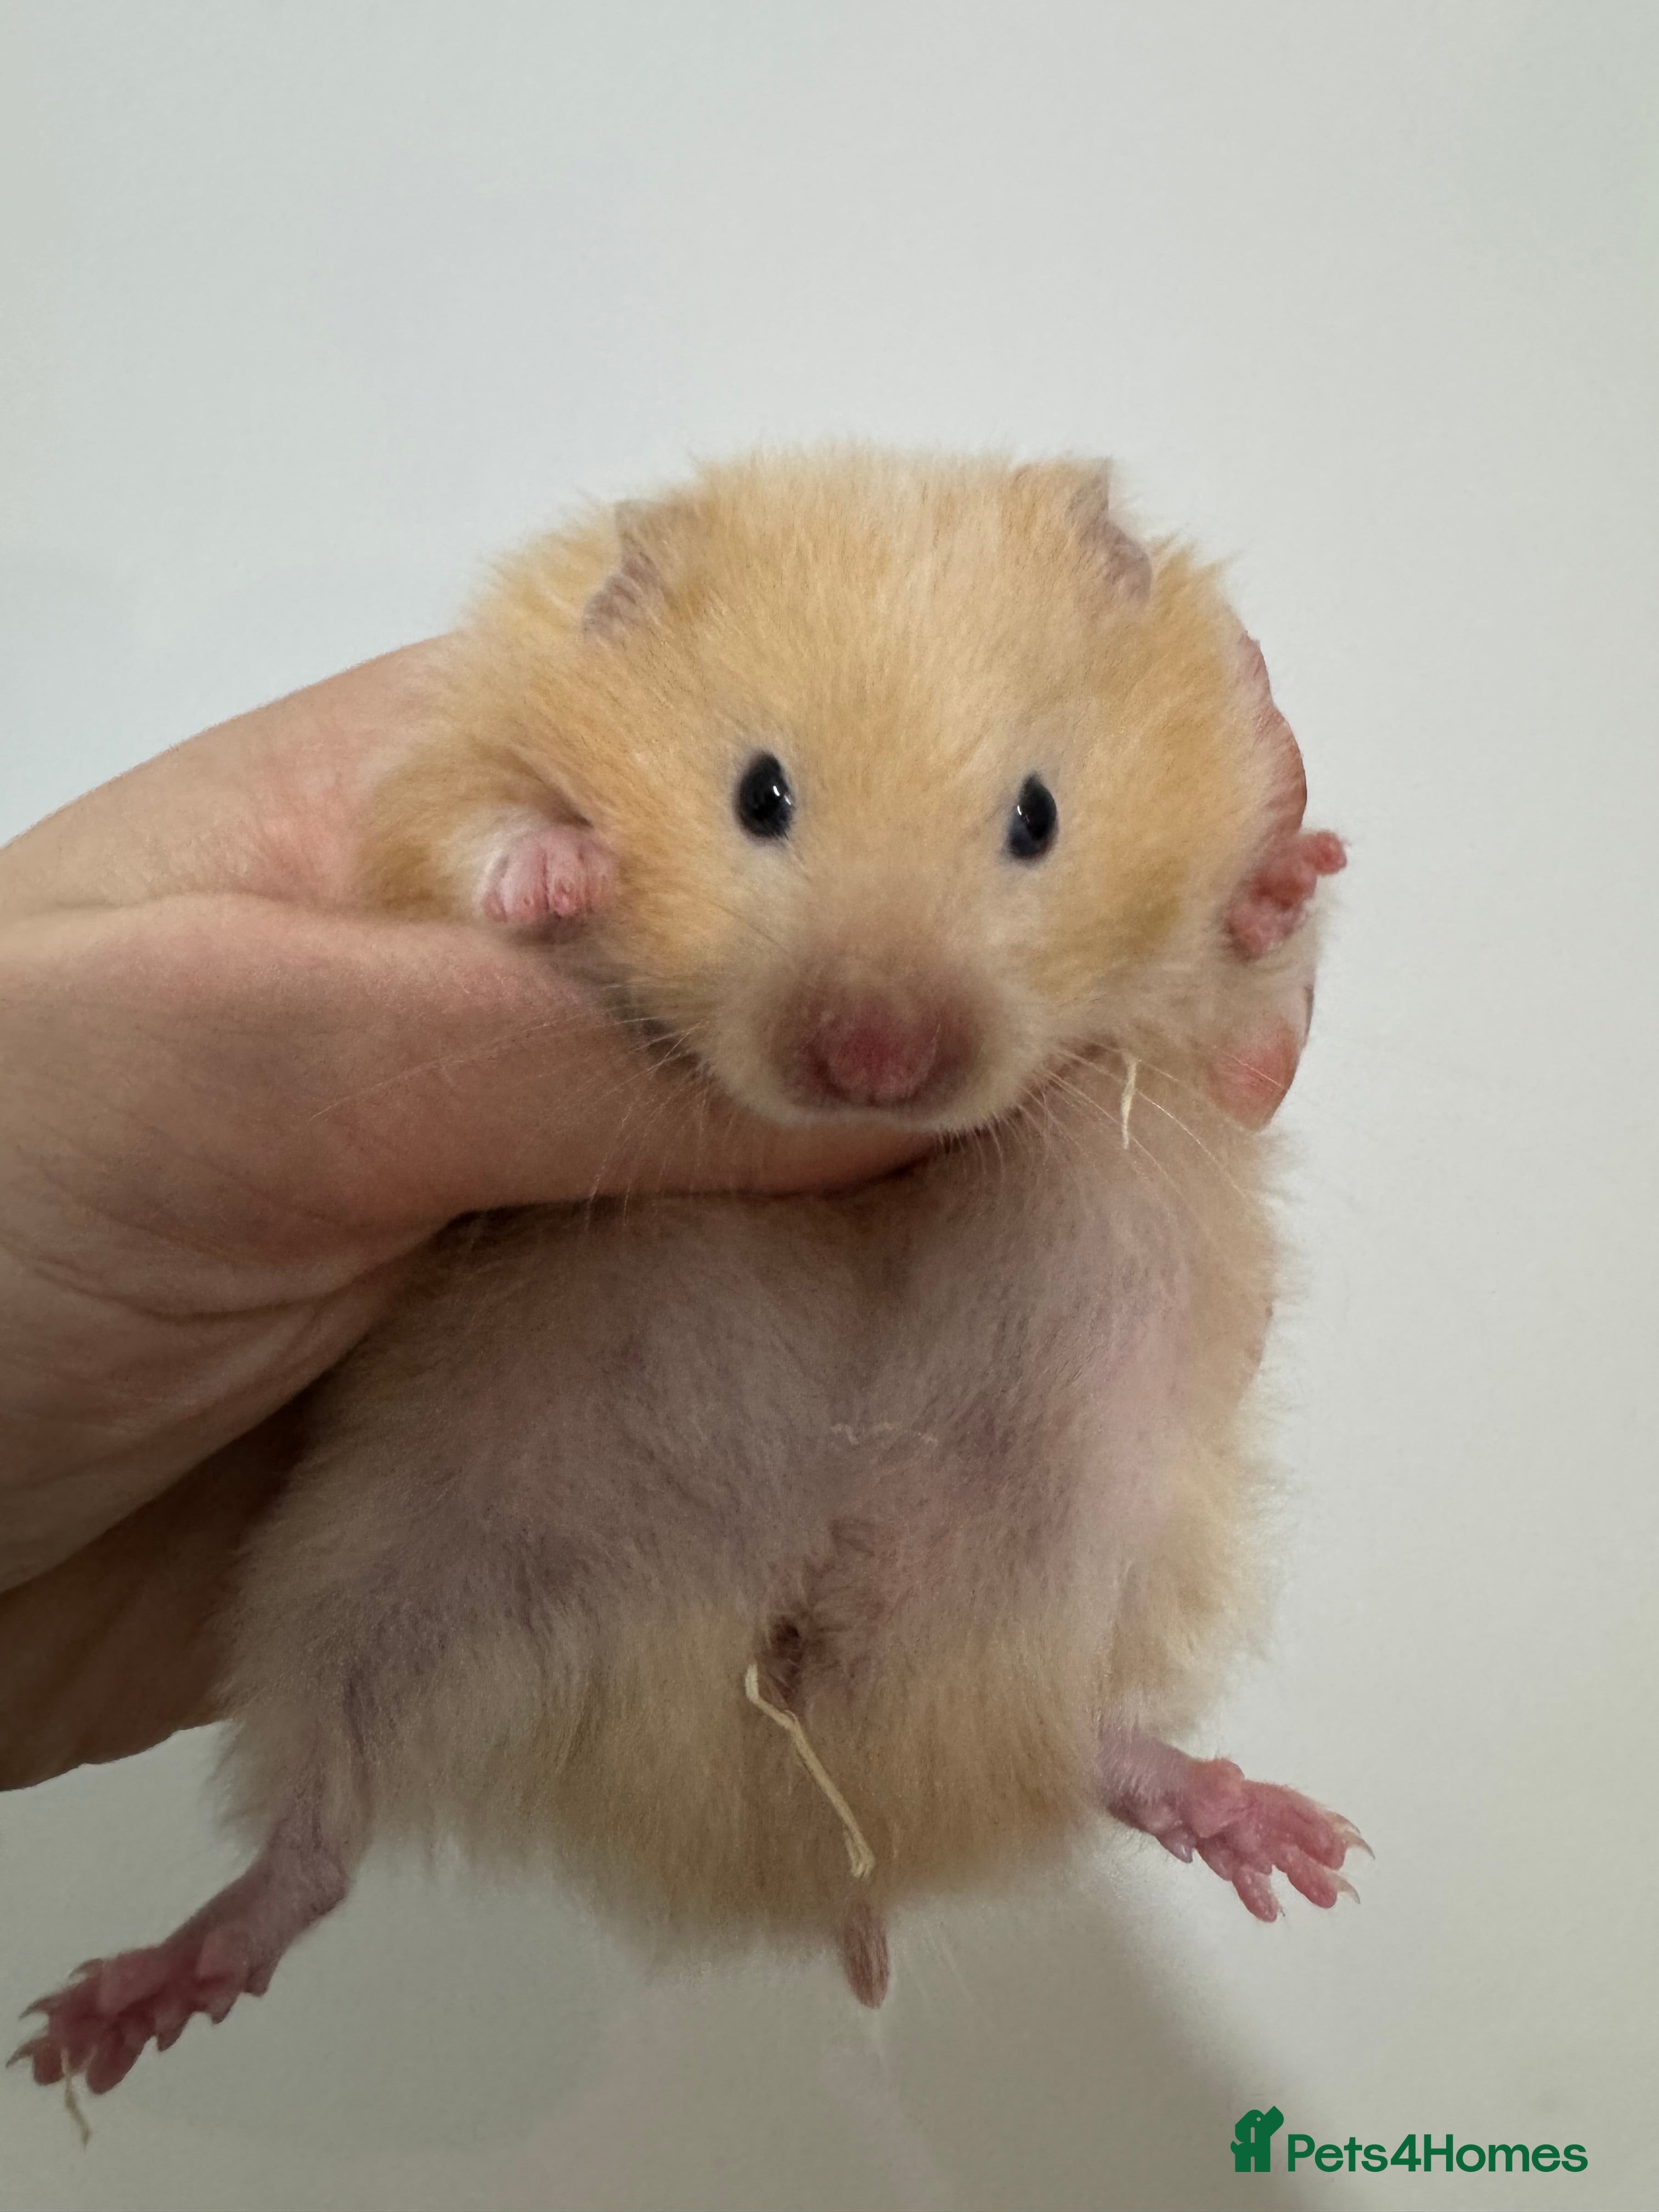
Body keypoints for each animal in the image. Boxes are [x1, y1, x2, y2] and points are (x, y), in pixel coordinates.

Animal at [16, 449, 1355, 2095]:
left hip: (1112, 1541)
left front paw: (1286, 869)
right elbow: (475, 835)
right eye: (758, 795)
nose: (875, 1062)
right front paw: (564, 871)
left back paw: (1284, 1843)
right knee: (317, 1836)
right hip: (363, 1584)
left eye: (1040, 816)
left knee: (1094, 1735)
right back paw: (110, 2017)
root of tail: (800, 1834)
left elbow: (1240, 968)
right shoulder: (431, 779)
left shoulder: (1199, 1048)